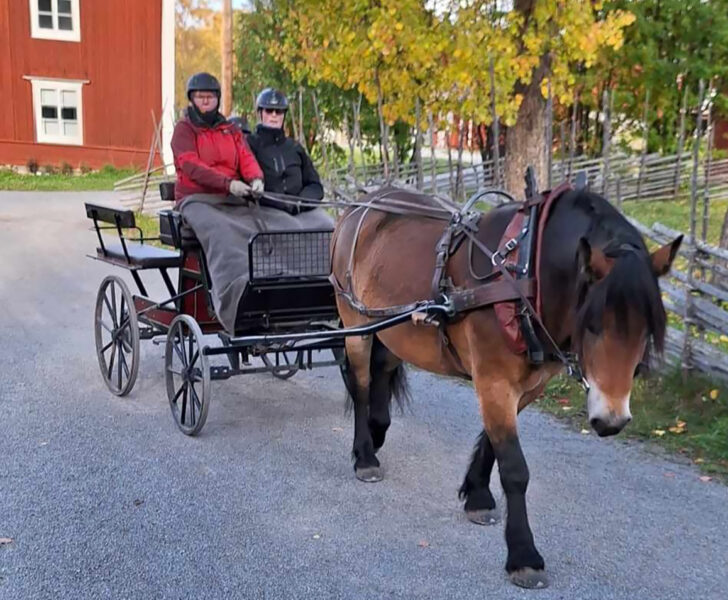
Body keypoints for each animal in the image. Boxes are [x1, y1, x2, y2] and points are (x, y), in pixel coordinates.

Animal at [330, 183, 684, 584]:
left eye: (646, 330)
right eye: (591, 324)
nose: (612, 420)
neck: (524, 275)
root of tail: (361, 203)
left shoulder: (526, 385)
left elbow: (491, 442)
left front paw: (477, 495)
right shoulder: (494, 379)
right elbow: (515, 468)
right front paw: (523, 554)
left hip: (396, 331)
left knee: (383, 370)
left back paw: (376, 432)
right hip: (355, 319)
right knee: (360, 385)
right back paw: (365, 455)